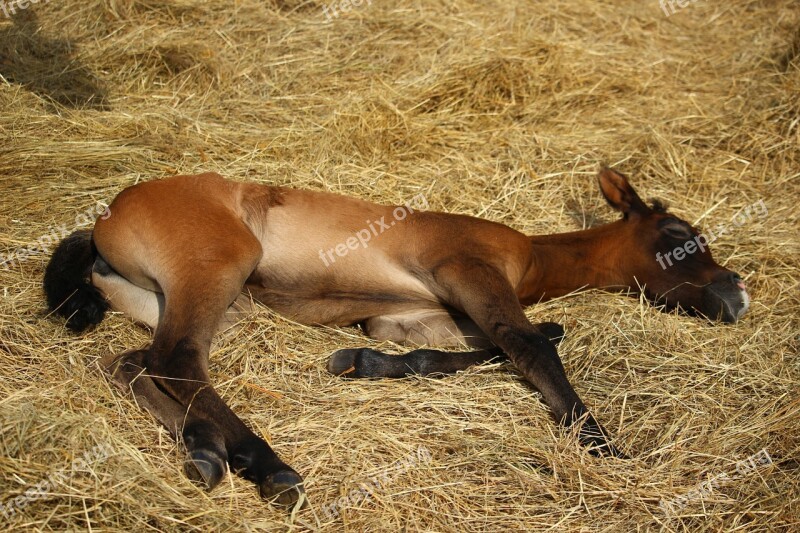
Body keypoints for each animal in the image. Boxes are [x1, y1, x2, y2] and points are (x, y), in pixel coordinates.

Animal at [42, 166, 752, 508]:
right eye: (677, 235)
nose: (735, 292)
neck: (534, 260)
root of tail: (103, 220)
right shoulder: (467, 268)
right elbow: (529, 346)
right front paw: (604, 446)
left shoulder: (414, 316)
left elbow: (464, 350)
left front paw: (361, 362)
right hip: (217, 266)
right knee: (178, 359)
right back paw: (266, 464)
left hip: (181, 300)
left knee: (134, 362)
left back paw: (206, 451)